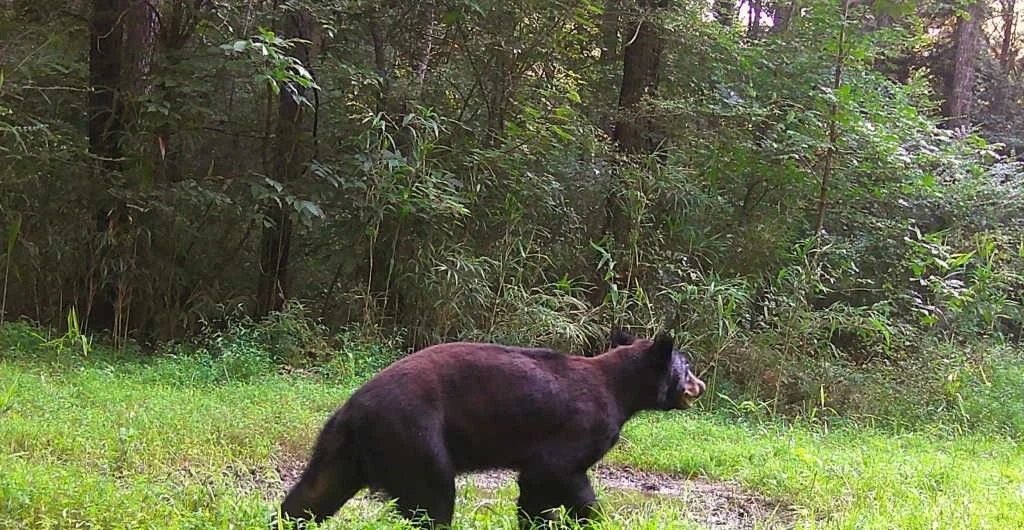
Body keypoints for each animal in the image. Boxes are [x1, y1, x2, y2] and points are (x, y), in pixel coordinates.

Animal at [277, 330, 705, 528]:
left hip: (342, 449)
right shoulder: (579, 428)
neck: (621, 392)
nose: (700, 385)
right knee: (433, 499)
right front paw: (592, 516)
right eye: (687, 367)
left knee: (313, 495)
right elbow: (560, 474)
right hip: (414, 436)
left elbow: (533, 491)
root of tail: (353, 407)